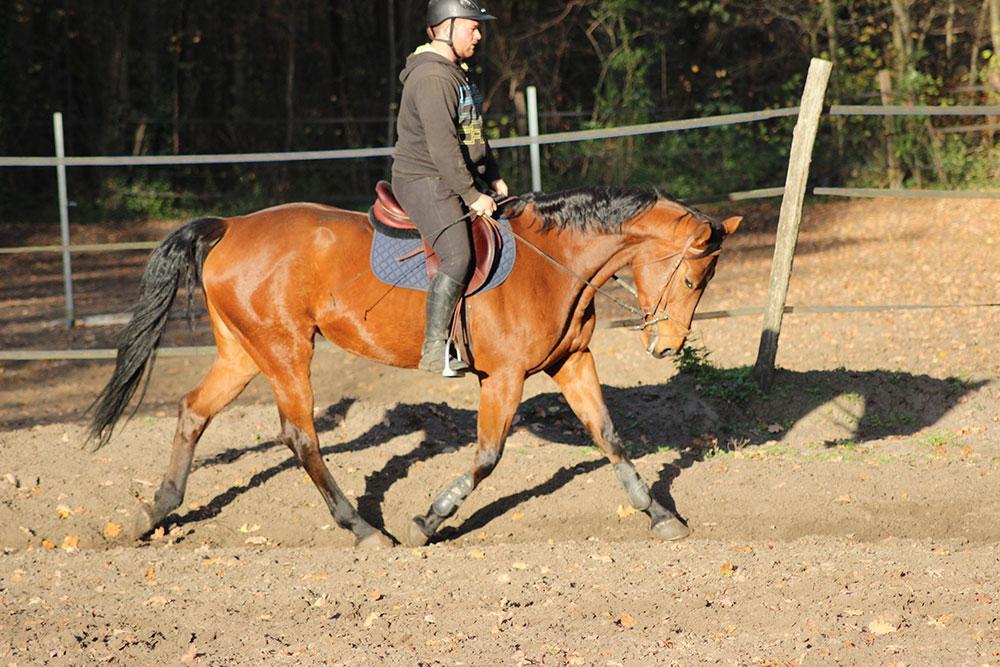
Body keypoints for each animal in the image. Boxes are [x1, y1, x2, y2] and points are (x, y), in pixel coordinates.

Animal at [90, 187, 740, 548]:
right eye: (692, 279)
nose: (668, 348)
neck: (552, 262)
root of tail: (231, 226)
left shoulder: (571, 363)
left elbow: (609, 436)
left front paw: (660, 514)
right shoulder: (503, 377)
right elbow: (487, 456)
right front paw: (429, 520)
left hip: (244, 353)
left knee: (192, 413)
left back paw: (154, 510)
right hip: (285, 351)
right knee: (300, 436)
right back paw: (362, 528)